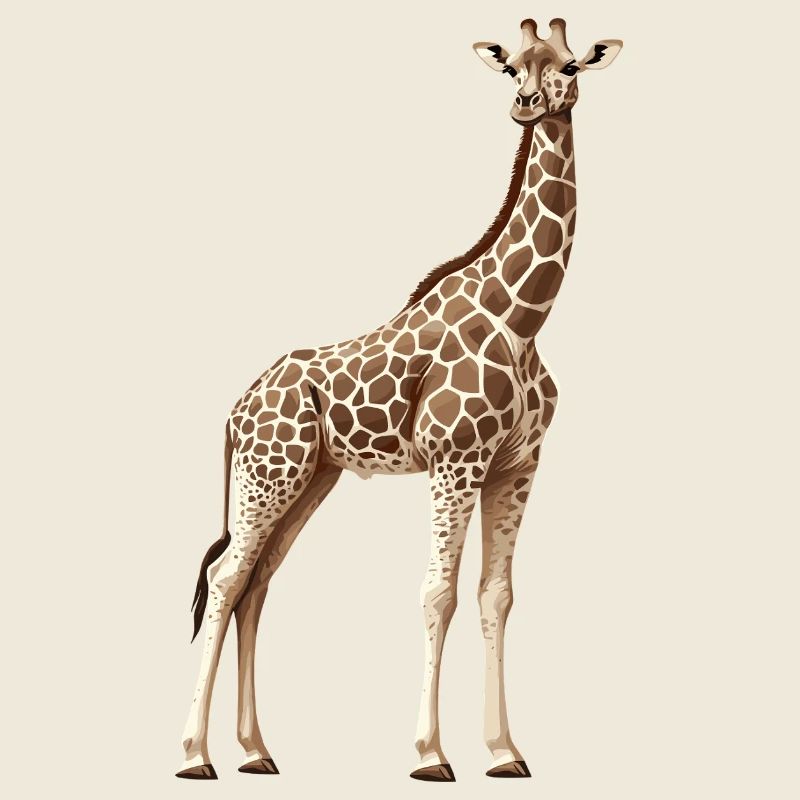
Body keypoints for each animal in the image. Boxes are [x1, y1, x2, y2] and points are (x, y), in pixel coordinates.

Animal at [177, 17, 622, 782]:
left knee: (257, 582)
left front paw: (505, 752)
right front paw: (430, 755)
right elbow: (438, 593)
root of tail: (235, 412)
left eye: (570, 64)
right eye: (513, 68)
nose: (529, 104)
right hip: (270, 474)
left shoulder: (517, 466)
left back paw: (257, 751)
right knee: (228, 575)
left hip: (312, 477)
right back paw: (195, 754)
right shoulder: (455, 460)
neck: (524, 317)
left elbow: (497, 595)